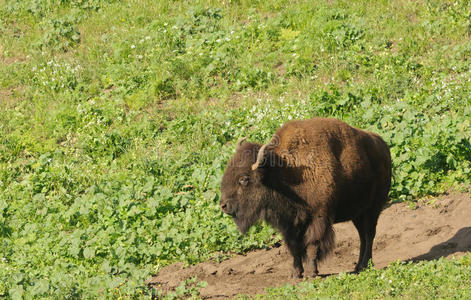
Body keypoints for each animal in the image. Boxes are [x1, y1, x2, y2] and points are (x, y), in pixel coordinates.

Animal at [219, 118, 392, 278]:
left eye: (244, 179)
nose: (223, 205)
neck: (282, 172)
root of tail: (383, 146)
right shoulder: (290, 223)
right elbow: (294, 247)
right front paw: (295, 273)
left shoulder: (318, 218)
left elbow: (312, 245)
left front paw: (310, 273)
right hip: (358, 213)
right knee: (362, 236)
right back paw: (358, 267)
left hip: (373, 209)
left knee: (369, 235)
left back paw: (365, 265)